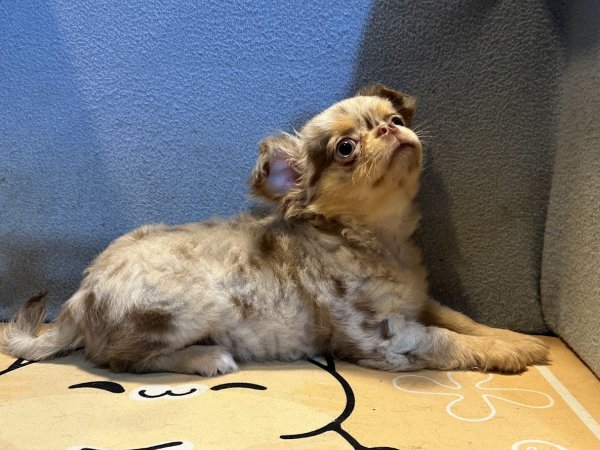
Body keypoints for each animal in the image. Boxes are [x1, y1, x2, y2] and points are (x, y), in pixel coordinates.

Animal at [1, 85, 549, 376]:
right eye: (345, 148)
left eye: (393, 117)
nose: (390, 129)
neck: (379, 241)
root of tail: (81, 297)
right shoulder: (382, 338)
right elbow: (444, 339)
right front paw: (509, 353)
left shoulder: (419, 300)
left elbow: (461, 319)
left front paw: (514, 338)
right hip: (196, 304)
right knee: (121, 358)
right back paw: (205, 358)